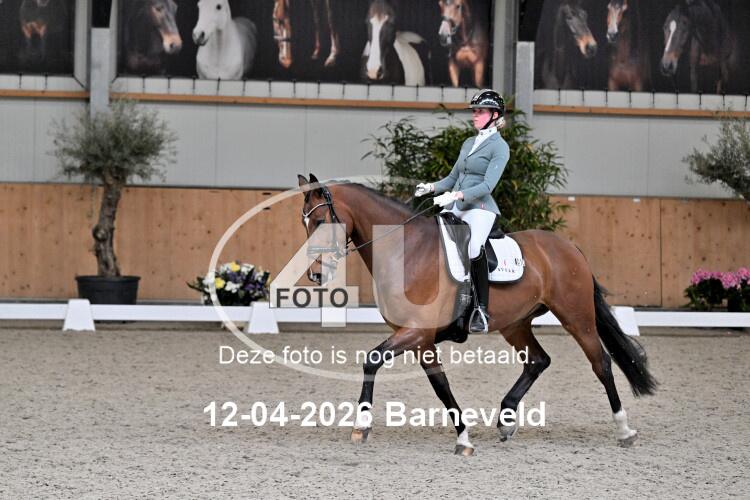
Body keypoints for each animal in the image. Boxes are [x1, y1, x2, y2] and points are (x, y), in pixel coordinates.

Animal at [298, 174, 657, 455]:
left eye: (320, 222)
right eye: (305, 224)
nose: (315, 274)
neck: (406, 252)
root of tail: (569, 247)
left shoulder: (416, 332)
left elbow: (373, 360)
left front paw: (361, 425)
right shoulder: (421, 339)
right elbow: (440, 384)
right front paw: (464, 437)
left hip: (576, 317)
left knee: (601, 363)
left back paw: (624, 430)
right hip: (516, 325)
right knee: (538, 360)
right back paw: (506, 421)